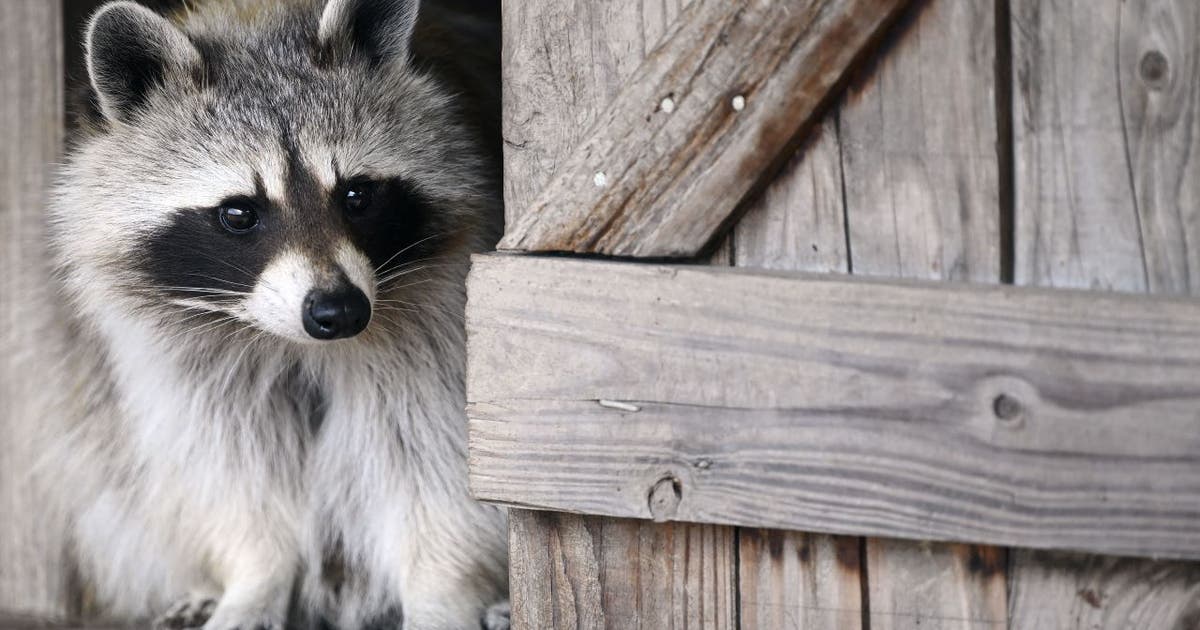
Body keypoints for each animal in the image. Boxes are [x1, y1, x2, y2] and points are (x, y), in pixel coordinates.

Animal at [37, 0, 507, 627]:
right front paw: (257, 572)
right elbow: (232, 466)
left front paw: (443, 588)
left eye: (357, 196)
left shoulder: (440, 323)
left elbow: (436, 460)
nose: (339, 310)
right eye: (239, 213)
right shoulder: (183, 360)